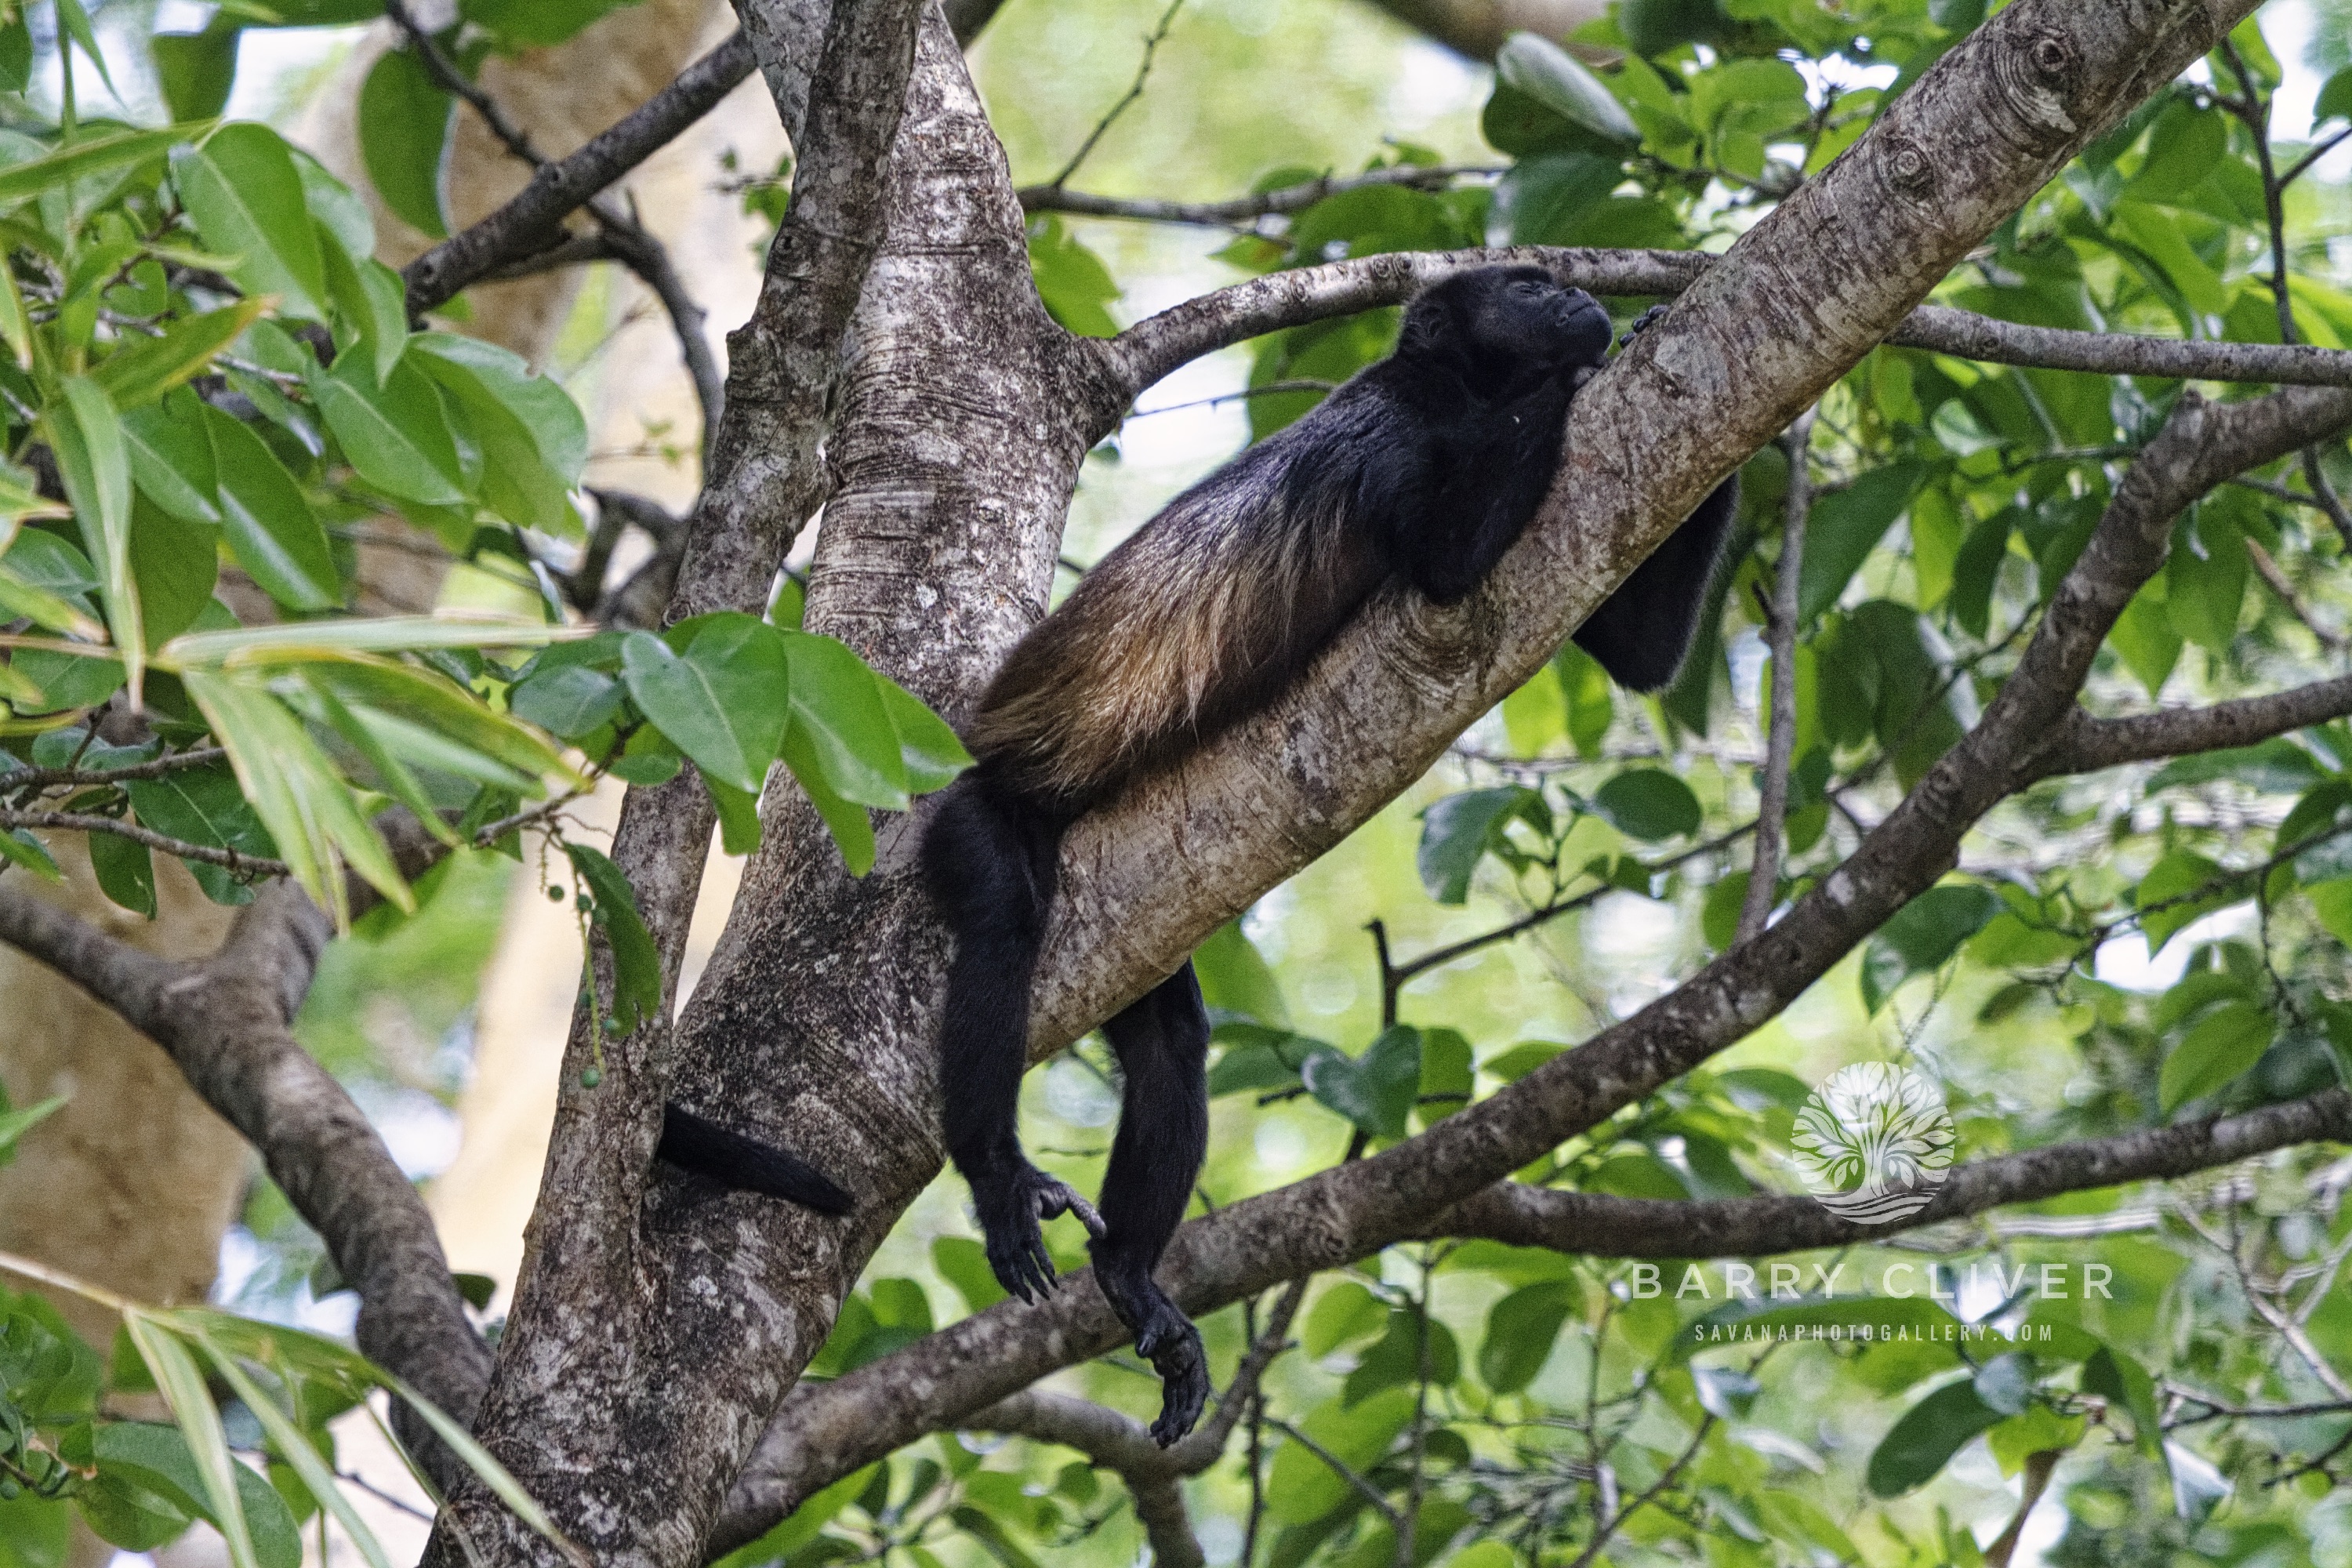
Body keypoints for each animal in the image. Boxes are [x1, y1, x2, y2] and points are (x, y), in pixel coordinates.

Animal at [659, 265, 1742, 1446]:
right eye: (1526, 286)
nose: (1575, 296)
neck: (1451, 387)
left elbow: (1637, 655)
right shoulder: (1394, 438)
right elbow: (1452, 568)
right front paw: (1587, 366)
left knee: (1171, 1039)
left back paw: (1133, 1275)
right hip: (979, 819)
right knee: (1003, 926)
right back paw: (998, 1174)